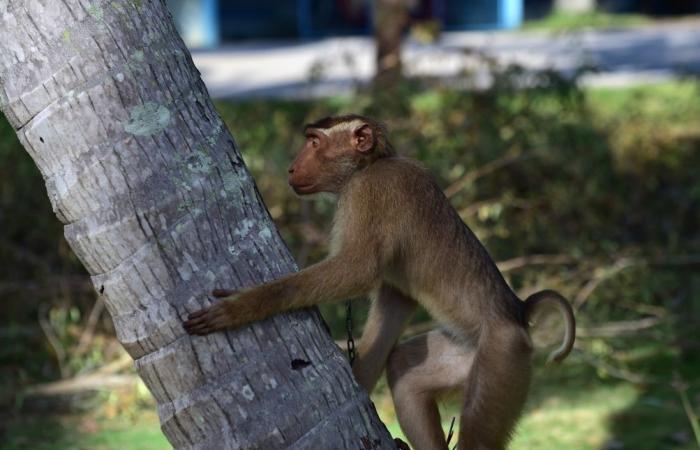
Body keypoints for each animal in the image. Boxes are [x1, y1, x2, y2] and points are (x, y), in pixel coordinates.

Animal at [186, 114, 576, 450]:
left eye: (314, 142)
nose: (292, 168)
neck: (370, 164)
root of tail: (518, 312)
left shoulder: (368, 193)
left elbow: (359, 270)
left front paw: (244, 305)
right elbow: (396, 298)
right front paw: (358, 378)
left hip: (502, 357)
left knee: (478, 440)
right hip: (472, 353)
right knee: (405, 368)